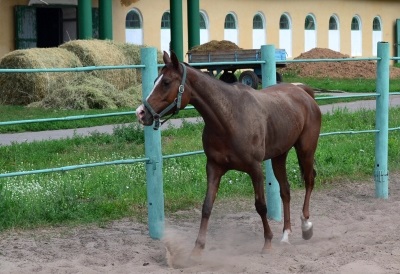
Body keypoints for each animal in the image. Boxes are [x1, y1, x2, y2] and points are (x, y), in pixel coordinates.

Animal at [137, 51, 322, 255]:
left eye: (166, 82)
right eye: (155, 80)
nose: (141, 113)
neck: (229, 118)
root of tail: (304, 93)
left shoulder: (255, 169)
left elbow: (261, 206)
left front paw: (267, 242)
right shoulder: (214, 167)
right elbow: (207, 206)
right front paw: (198, 248)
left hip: (306, 150)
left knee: (309, 180)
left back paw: (306, 226)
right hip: (279, 156)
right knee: (285, 190)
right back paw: (286, 235)